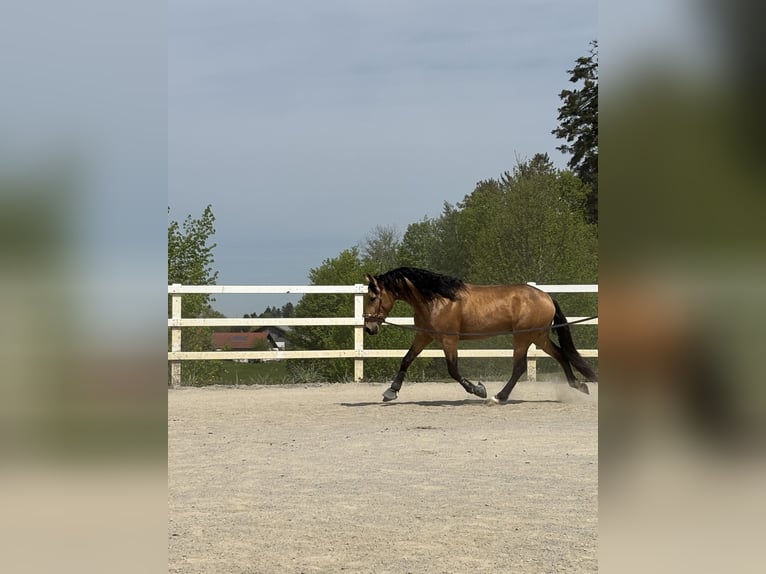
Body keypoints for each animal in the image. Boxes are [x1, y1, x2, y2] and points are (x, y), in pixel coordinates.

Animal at [363, 267, 597, 403]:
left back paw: (497, 397)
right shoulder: (424, 336)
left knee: (520, 367)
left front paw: (478, 389)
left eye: (373, 297)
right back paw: (579, 385)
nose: (369, 328)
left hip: (523, 337)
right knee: (561, 356)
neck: (437, 300)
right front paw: (391, 391)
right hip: (539, 337)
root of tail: (547, 297)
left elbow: (453, 370)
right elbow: (406, 359)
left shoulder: (449, 339)